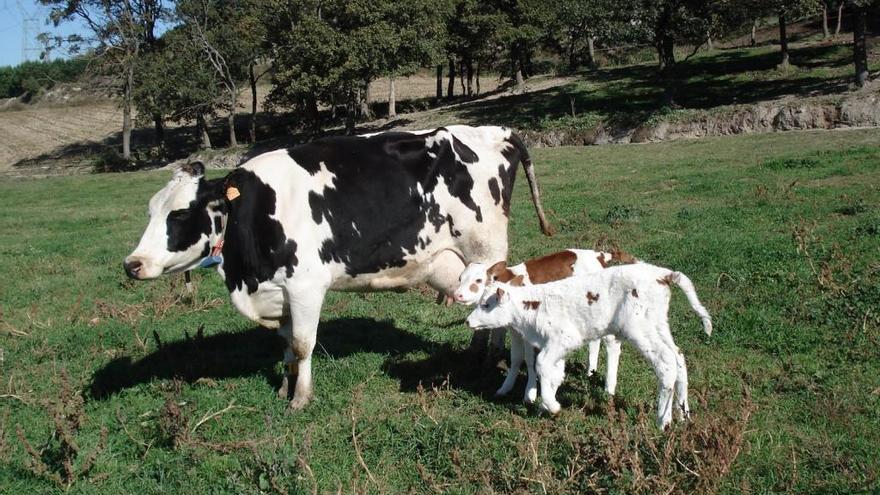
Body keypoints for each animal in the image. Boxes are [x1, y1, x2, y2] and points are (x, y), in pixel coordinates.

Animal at [125, 125, 552, 410]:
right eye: (150, 211)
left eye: (180, 214)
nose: (133, 264)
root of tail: (495, 131)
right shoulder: (280, 292)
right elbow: (286, 345)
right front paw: (284, 387)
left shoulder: (305, 286)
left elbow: (303, 343)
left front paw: (300, 398)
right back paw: (475, 355)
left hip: (486, 249)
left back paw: (488, 358)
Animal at [454, 248, 632, 404]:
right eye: (460, 278)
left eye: (478, 280)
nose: (457, 295)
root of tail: (598, 254)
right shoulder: (515, 331)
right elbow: (516, 358)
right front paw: (505, 388)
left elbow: (530, 359)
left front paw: (530, 394)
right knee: (595, 341)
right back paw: (590, 371)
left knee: (611, 343)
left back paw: (609, 387)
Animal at [464, 264, 712, 430]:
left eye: (486, 304)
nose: (468, 321)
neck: (534, 306)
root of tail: (663, 274)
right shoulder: (556, 347)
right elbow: (555, 374)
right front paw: (546, 404)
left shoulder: (564, 338)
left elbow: (542, 365)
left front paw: (553, 406)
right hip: (658, 325)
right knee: (679, 357)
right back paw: (683, 414)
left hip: (640, 328)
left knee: (666, 363)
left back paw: (663, 421)